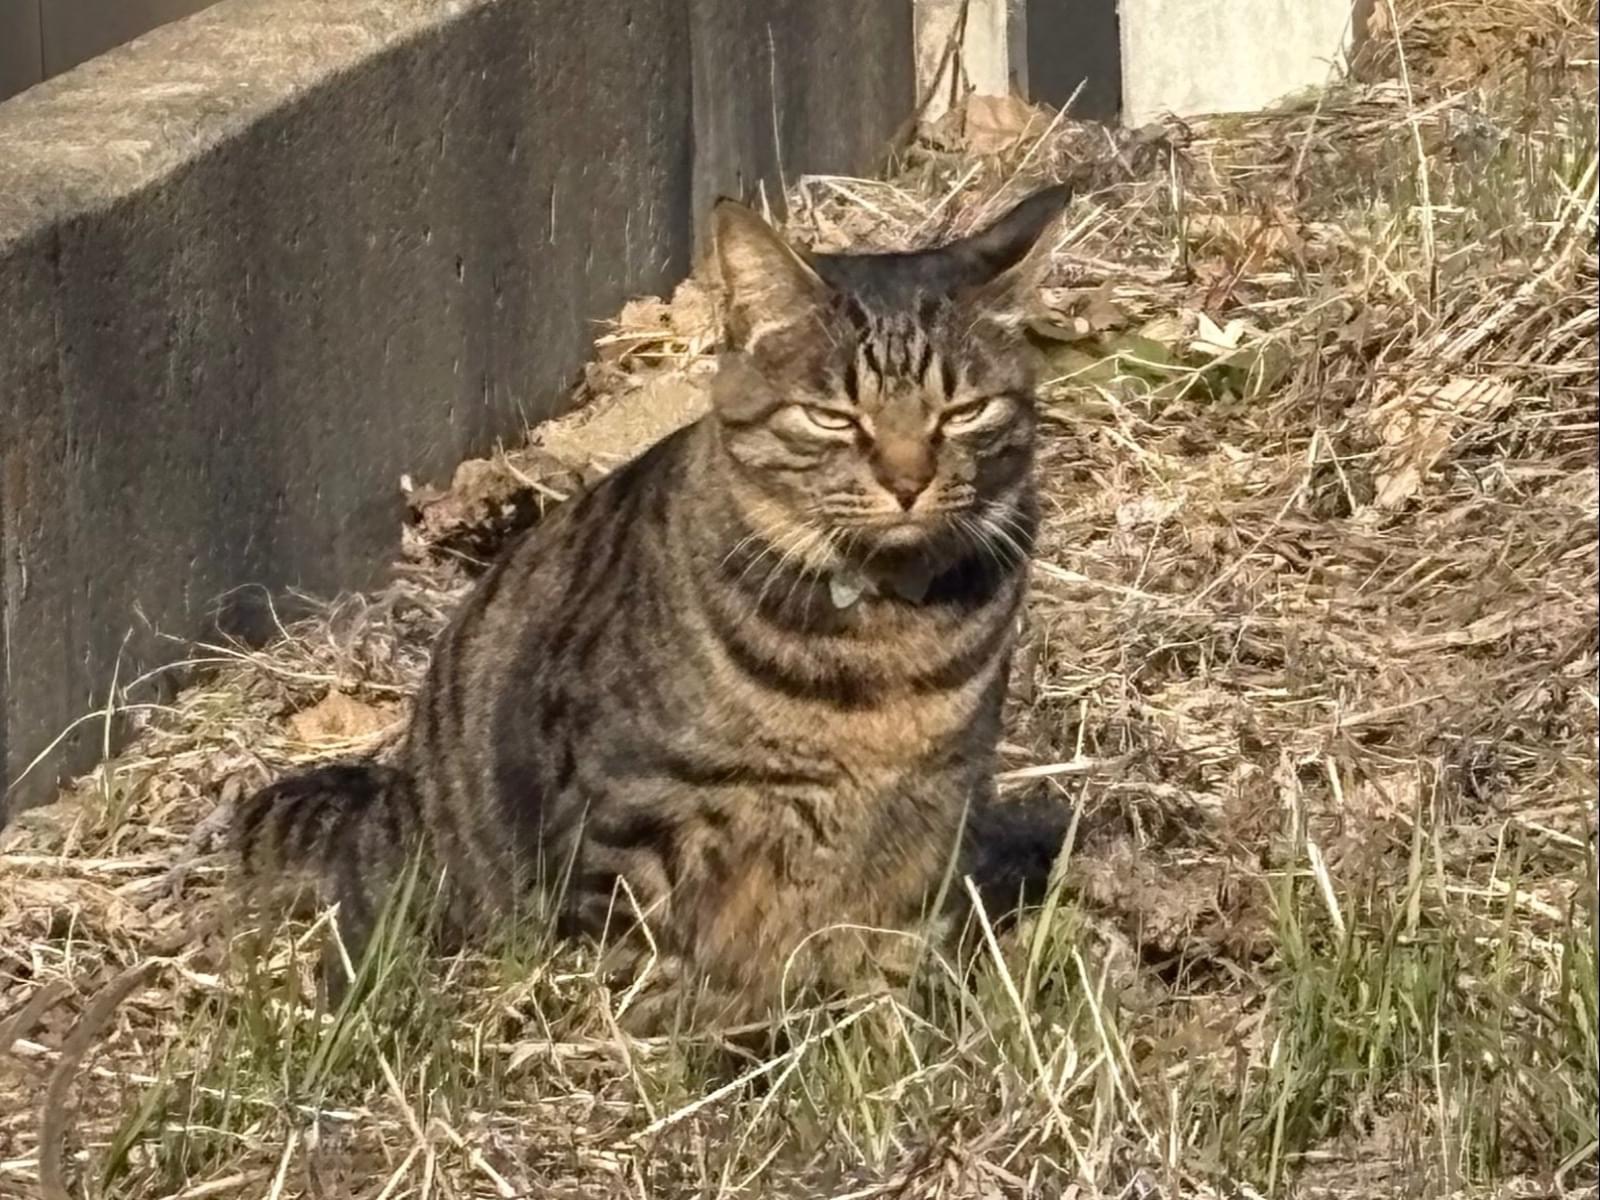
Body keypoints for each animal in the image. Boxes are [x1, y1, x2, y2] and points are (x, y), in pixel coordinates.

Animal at [235, 183, 1072, 1028]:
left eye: (963, 412)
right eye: (833, 416)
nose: (907, 480)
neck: (886, 643)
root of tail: (389, 796)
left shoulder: (937, 816)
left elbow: (892, 956)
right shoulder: (632, 818)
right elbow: (644, 961)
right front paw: (678, 1035)